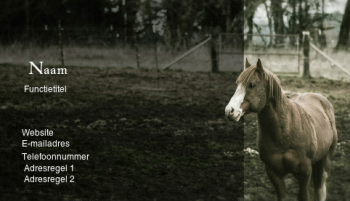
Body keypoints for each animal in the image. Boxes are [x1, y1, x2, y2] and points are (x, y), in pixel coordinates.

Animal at [226, 58, 338, 201]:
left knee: (320, 188)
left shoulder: (305, 170)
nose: (230, 110)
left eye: (251, 85)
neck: (284, 134)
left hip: (325, 160)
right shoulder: (273, 172)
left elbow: (304, 196)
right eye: (237, 84)